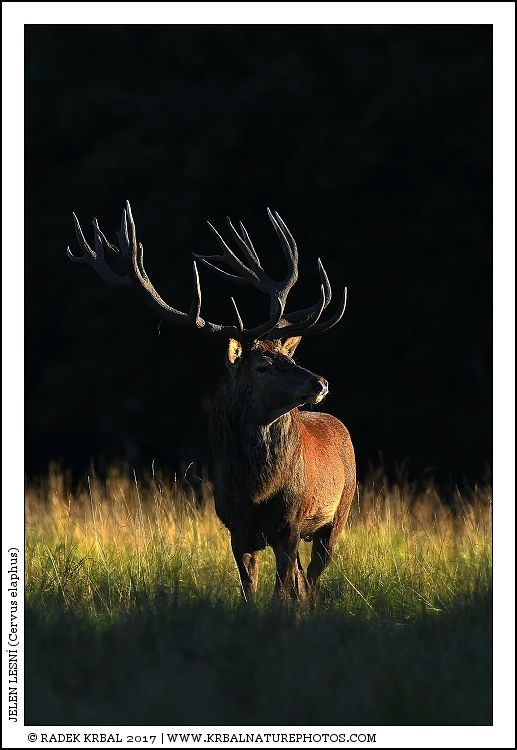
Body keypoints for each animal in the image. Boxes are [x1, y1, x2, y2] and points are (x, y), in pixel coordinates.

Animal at [68, 202, 356, 601]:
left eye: (289, 357)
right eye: (263, 366)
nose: (321, 381)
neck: (255, 491)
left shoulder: (290, 525)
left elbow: (281, 593)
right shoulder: (235, 530)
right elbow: (251, 592)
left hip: (339, 512)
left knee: (311, 579)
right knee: (305, 580)